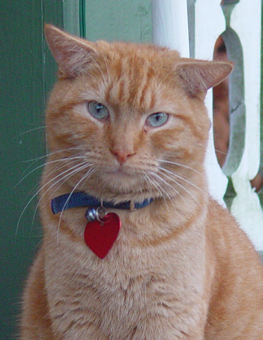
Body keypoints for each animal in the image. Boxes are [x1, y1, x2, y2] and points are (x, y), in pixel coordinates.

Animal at [20, 24, 263, 340]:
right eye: (98, 110)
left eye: (157, 119)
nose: (122, 151)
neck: (120, 217)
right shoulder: (75, 318)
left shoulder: (169, 320)